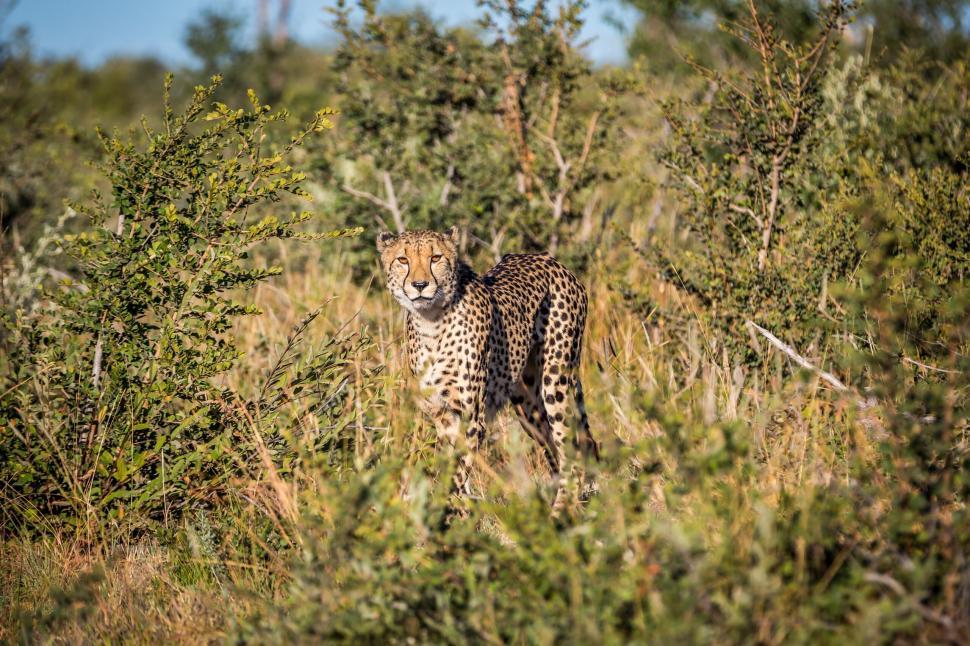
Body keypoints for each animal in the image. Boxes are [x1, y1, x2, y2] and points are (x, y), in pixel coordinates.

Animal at [377, 226, 599, 508]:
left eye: (435, 258)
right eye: (403, 260)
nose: (419, 285)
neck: (432, 321)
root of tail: (548, 259)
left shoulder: (472, 415)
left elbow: (456, 473)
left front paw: (447, 509)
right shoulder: (442, 413)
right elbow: (452, 468)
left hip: (556, 381)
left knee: (572, 448)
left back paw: (561, 510)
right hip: (528, 404)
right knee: (561, 450)